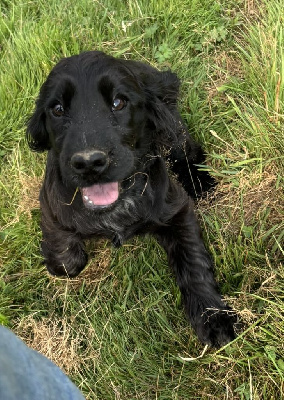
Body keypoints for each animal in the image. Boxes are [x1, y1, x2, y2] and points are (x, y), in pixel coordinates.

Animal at [26, 51, 236, 346]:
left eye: (119, 102)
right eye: (57, 109)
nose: (89, 163)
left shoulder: (177, 209)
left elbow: (193, 261)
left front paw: (213, 318)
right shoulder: (50, 204)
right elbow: (67, 260)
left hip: (172, 127)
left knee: (186, 149)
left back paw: (200, 182)